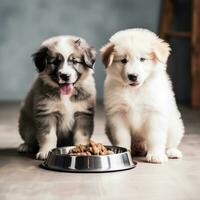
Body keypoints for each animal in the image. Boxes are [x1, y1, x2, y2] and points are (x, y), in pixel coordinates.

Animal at [101, 28, 185, 162]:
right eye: (123, 60)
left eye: (142, 59)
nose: (133, 76)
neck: (135, 90)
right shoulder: (118, 114)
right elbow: (122, 136)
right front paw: (124, 151)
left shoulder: (154, 113)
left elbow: (155, 136)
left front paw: (156, 155)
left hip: (175, 126)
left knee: (171, 142)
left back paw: (172, 152)